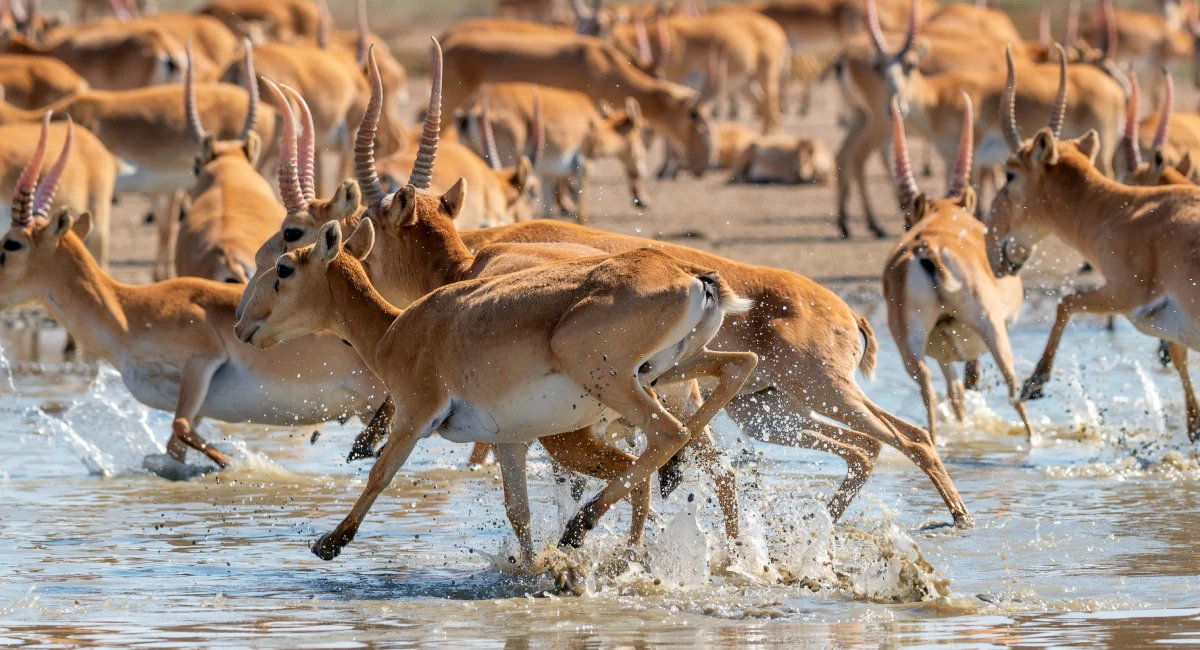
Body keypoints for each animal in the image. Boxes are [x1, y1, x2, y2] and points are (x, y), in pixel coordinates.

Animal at [0, 114, 384, 474]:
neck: (129, 312)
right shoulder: (195, 403)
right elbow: (174, 446)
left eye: (11, 243)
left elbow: (181, 427)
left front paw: (231, 462)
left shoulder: (200, 363)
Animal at [878, 97, 1036, 443]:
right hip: (992, 328)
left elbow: (956, 395)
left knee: (929, 389)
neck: (942, 217)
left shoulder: (944, 355)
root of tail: (928, 248)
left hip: (912, 346)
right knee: (1013, 386)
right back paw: (1033, 440)